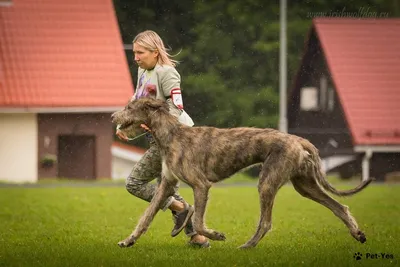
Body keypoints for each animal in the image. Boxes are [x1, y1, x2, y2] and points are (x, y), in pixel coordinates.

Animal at [110, 98, 372, 249]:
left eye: (130, 107)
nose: (113, 116)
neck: (172, 134)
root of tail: (297, 139)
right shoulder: (166, 184)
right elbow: (146, 216)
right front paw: (129, 240)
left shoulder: (201, 185)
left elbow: (199, 221)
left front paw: (216, 235)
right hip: (304, 185)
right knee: (339, 207)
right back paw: (358, 233)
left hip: (267, 182)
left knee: (266, 222)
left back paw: (248, 246)